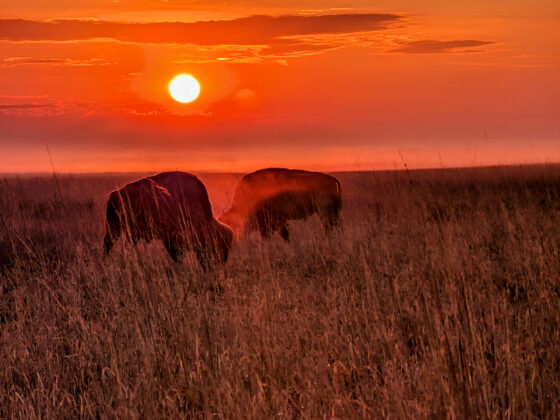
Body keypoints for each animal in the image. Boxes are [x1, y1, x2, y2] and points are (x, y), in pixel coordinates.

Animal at [104, 171, 233, 268]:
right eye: (218, 245)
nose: (219, 263)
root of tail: (113, 194)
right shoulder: (172, 239)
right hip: (113, 229)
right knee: (108, 244)